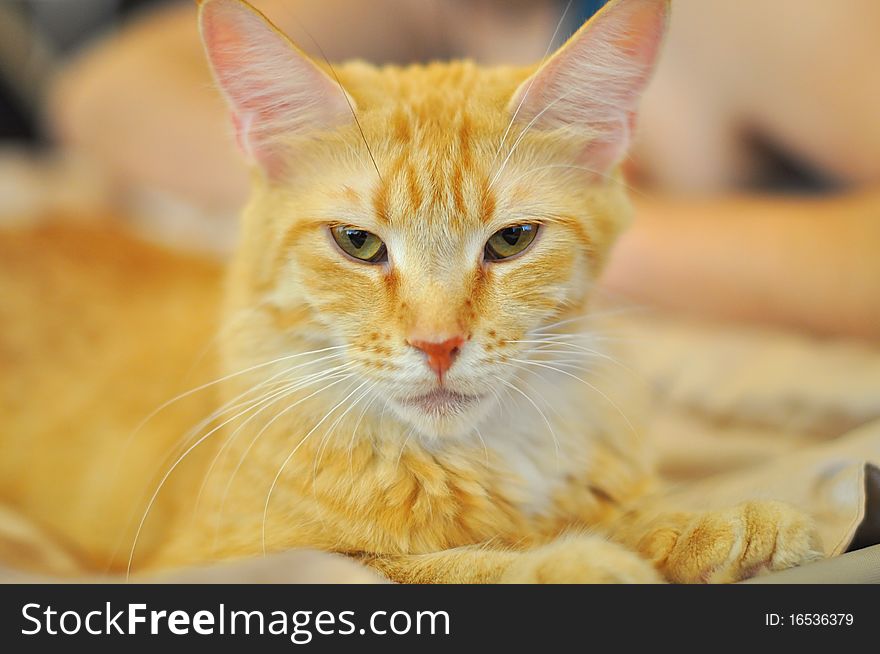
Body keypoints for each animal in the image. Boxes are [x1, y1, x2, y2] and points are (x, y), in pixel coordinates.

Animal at [1, 0, 824, 584]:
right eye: (358, 243)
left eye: (511, 242)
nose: (438, 345)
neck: (474, 454)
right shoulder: (223, 561)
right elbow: (442, 567)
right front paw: (573, 560)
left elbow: (635, 511)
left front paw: (712, 525)